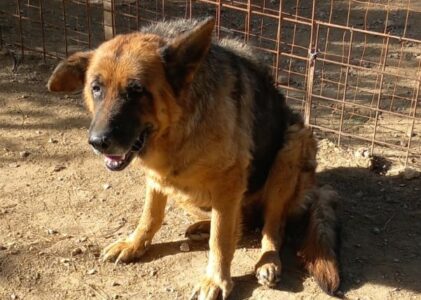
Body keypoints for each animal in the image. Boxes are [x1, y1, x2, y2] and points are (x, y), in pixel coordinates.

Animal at [47, 17, 340, 300]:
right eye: (96, 88)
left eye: (137, 91)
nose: (98, 142)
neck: (178, 129)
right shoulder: (157, 176)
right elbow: (151, 215)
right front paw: (135, 244)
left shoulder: (229, 180)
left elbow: (220, 240)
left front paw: (215, 279)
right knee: (243, 223)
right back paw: (203, 226)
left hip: (293, 145)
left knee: (271, 227)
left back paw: (268, 260)